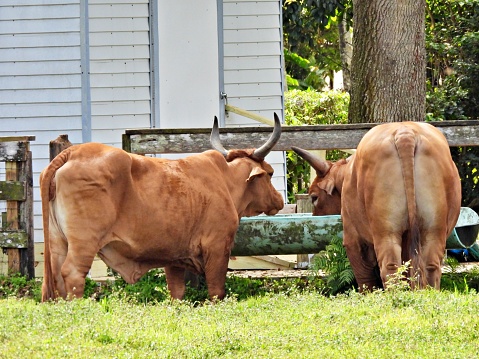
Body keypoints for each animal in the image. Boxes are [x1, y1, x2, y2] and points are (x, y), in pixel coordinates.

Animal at [41, 114, 284, 300]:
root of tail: (72, 153)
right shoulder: (217, 247)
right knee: (72, 273)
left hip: (57, 241)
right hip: (84, 242)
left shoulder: (174, 258)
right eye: (270, 173)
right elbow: (216, 291)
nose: (280, 199)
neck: (225, 181)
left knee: (55, 274)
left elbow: (177, 292)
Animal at [292, 122, 462, 292]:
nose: (315, 217)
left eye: (314, 197)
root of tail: (405, 133)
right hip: (432, 229)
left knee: (389, 267)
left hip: (386, 231)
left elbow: (364, 277)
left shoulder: (353, 237)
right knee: (429, 266)